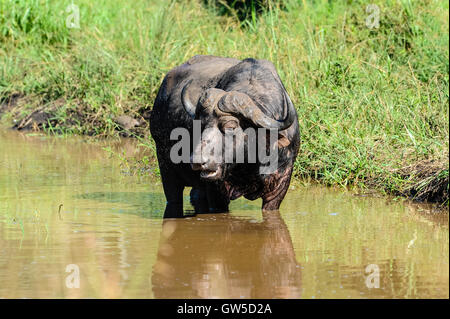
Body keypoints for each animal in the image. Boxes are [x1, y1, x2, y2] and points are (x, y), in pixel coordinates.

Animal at [149, 55, 300, 220]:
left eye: (230, 126)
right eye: (201, 125)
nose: (197, 161)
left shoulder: (279, 188)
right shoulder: (216, 193)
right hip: (166, 168)